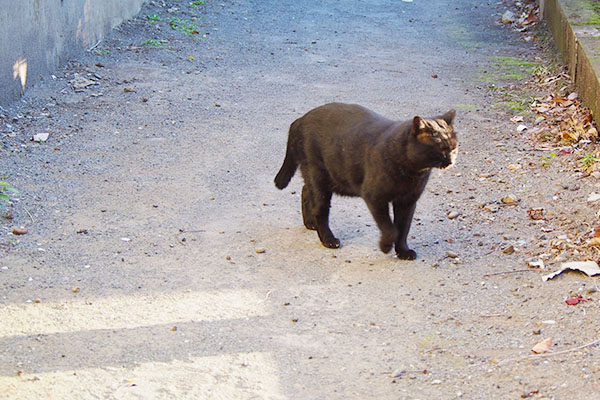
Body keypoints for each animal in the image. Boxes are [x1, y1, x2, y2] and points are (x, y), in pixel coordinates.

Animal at [274, 102, 458, 260]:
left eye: (453, 147)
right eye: (441, 149)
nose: (450, 160)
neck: (412, 173)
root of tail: (301, 119)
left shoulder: (407, 202)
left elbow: (403, 229)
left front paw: (403, 252)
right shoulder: (374, 197)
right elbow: (390, 229)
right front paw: (385, 247)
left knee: (305, 190)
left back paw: (310, 223)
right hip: (319, 178)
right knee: (320, 209)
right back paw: (328, 239)